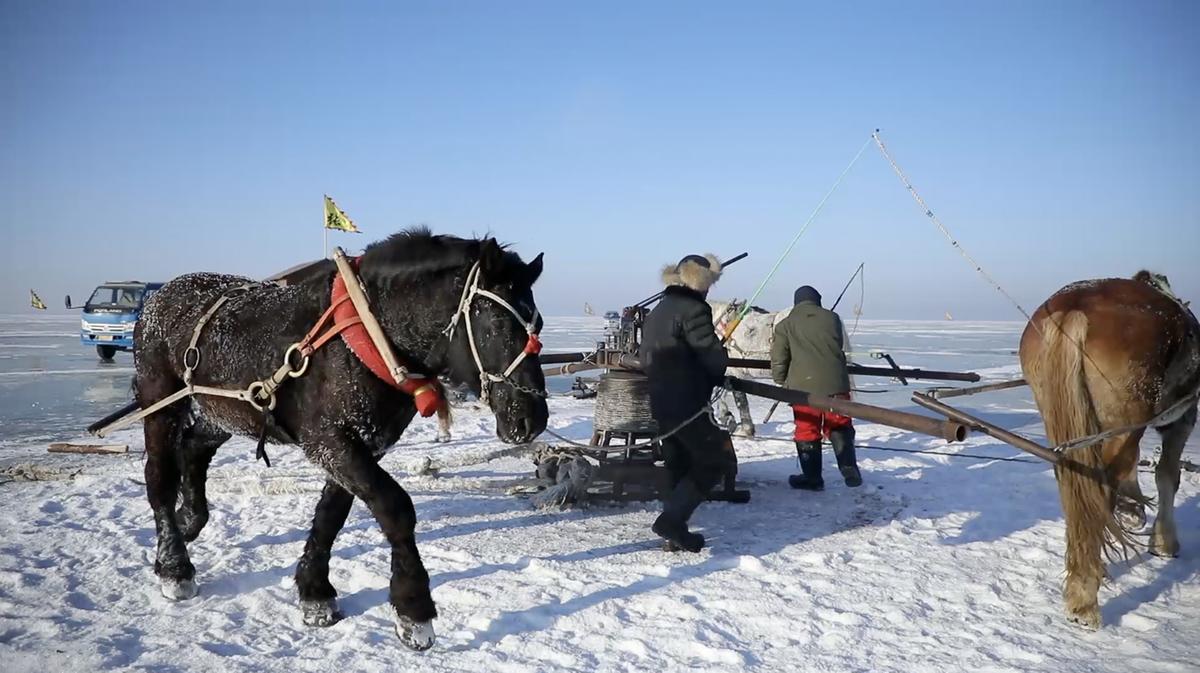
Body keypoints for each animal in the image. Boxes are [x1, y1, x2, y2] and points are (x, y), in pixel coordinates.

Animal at [1022, 269, 1200, 628]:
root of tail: (1074, 307)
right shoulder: (1183, 419)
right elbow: (1167, 477)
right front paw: (1164, 541)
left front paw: (1132, 511)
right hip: (1126, 419)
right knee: (1100, 489)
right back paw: (1084, 597)